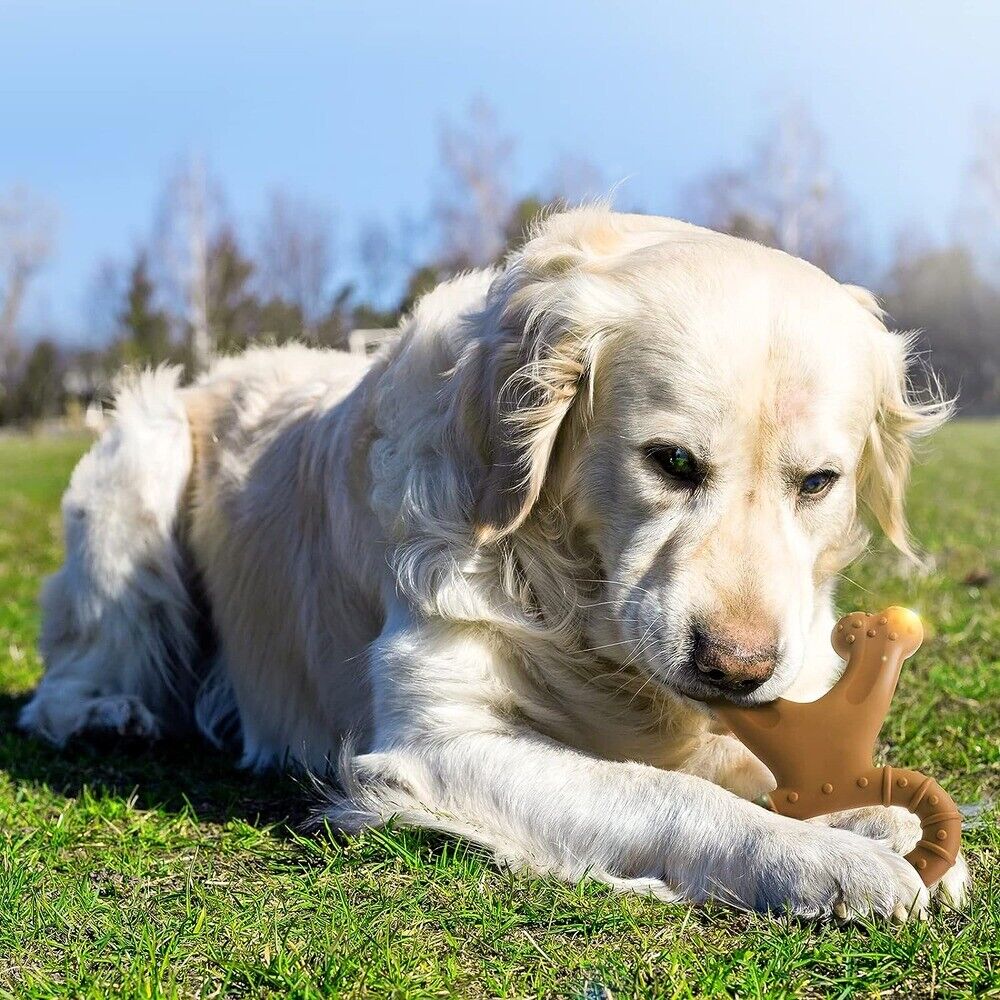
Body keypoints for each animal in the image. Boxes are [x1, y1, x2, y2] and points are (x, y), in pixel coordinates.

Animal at [17, 211, 968, 920]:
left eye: (818, 483)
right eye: (670, 462)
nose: (736, 668)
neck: (575, 601)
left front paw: (878, 816)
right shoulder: (440, 745)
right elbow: (669, 796)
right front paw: (822, 858)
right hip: (142, 454)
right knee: (69, 680)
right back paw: (109, 712)